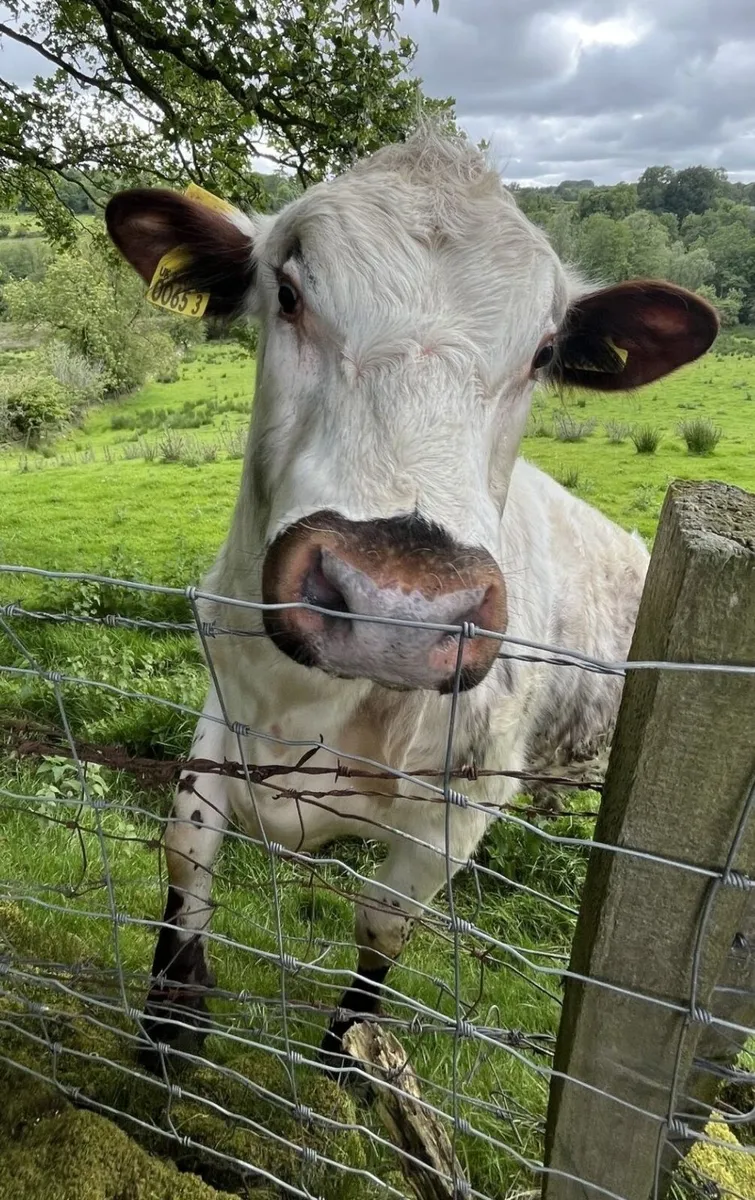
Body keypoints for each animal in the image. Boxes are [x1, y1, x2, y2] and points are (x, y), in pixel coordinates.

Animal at [105, 126, 718, 1071]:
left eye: (543, 353)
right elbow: (185, 845)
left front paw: (343, 1053)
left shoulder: (463, 809)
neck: (311, 712)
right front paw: (172, 1014)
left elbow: (384, 925)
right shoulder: (222, 699)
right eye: (288, 293)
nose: (397, 602)